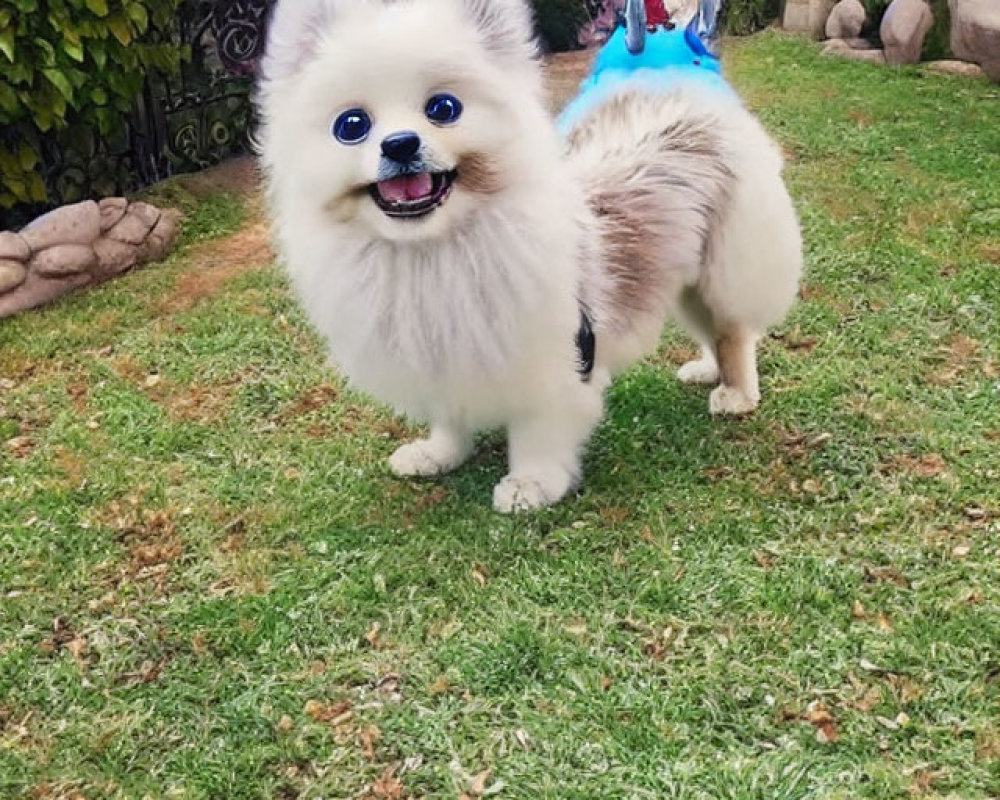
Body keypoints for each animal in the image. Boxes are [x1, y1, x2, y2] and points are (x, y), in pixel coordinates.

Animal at [260, 0, 804, 512]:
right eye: (351, 125)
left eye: (444, 108)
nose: (400, 144)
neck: (433, 248)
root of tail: (683, 91)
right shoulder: (444, 348)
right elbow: (449, 416)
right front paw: (440, 454)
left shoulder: (555, 356)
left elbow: (537, 431)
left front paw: (531, 484)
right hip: (683, 276)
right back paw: (708, 369)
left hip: (721, 266)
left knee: (733, 333)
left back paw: (736, 393)